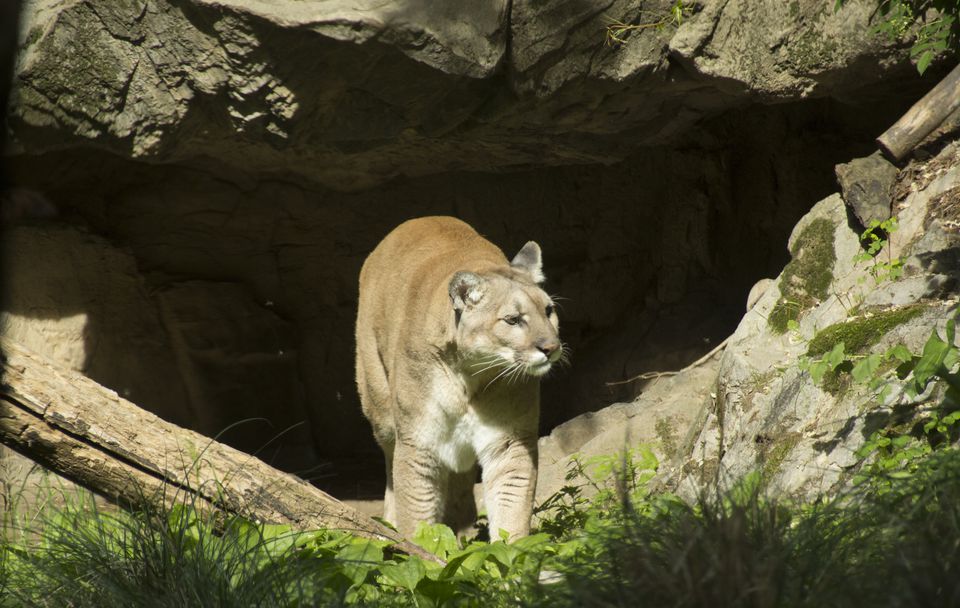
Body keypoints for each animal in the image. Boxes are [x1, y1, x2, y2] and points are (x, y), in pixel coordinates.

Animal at [354, 216, 564, 540]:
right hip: (380, 407)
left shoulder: (509, 442)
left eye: (549, 310)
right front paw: (418, 549)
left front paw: (515, 550)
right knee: (390, 464)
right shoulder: (418, 442)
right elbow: (416, 514)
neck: (470, 375)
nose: (551, 348)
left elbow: (511, 508)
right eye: (513, 320)